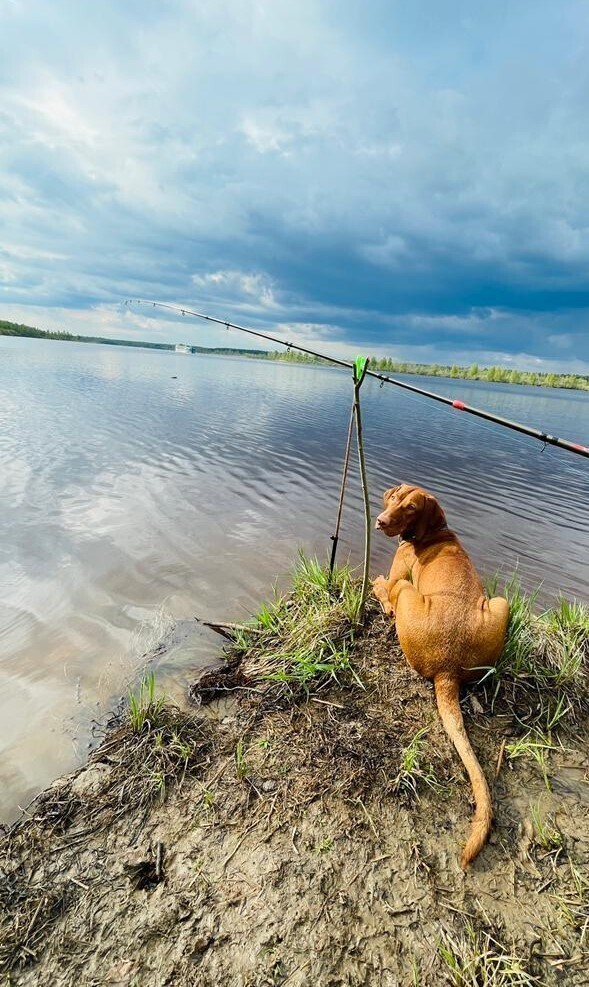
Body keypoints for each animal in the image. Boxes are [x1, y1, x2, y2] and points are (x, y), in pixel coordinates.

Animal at [374, 482, 508, 868]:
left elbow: (386, 584)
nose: (381, 520)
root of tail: (447, 669)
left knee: (390, 599)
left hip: (407, 593)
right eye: (395, 498)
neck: (433, 533)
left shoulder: (400, 573)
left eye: (411, 507)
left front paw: (377, 583)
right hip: (501, 604)